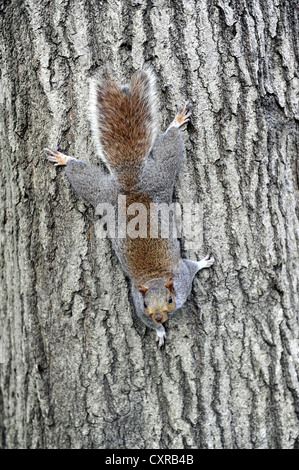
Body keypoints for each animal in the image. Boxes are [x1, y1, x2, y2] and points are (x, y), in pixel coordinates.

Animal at [44, 67, 214, 346]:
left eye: (170, 299)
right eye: (146, 305)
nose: (160, 316)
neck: (154, 278)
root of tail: (130, 183)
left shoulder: (182, 279)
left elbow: (192, 267)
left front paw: (204, 262)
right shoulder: (136, 300)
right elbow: (145, 321)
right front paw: (159, 331)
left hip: (155, 176)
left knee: (169, 147)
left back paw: (177, 121)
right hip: (105, 192)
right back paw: (63, 158)